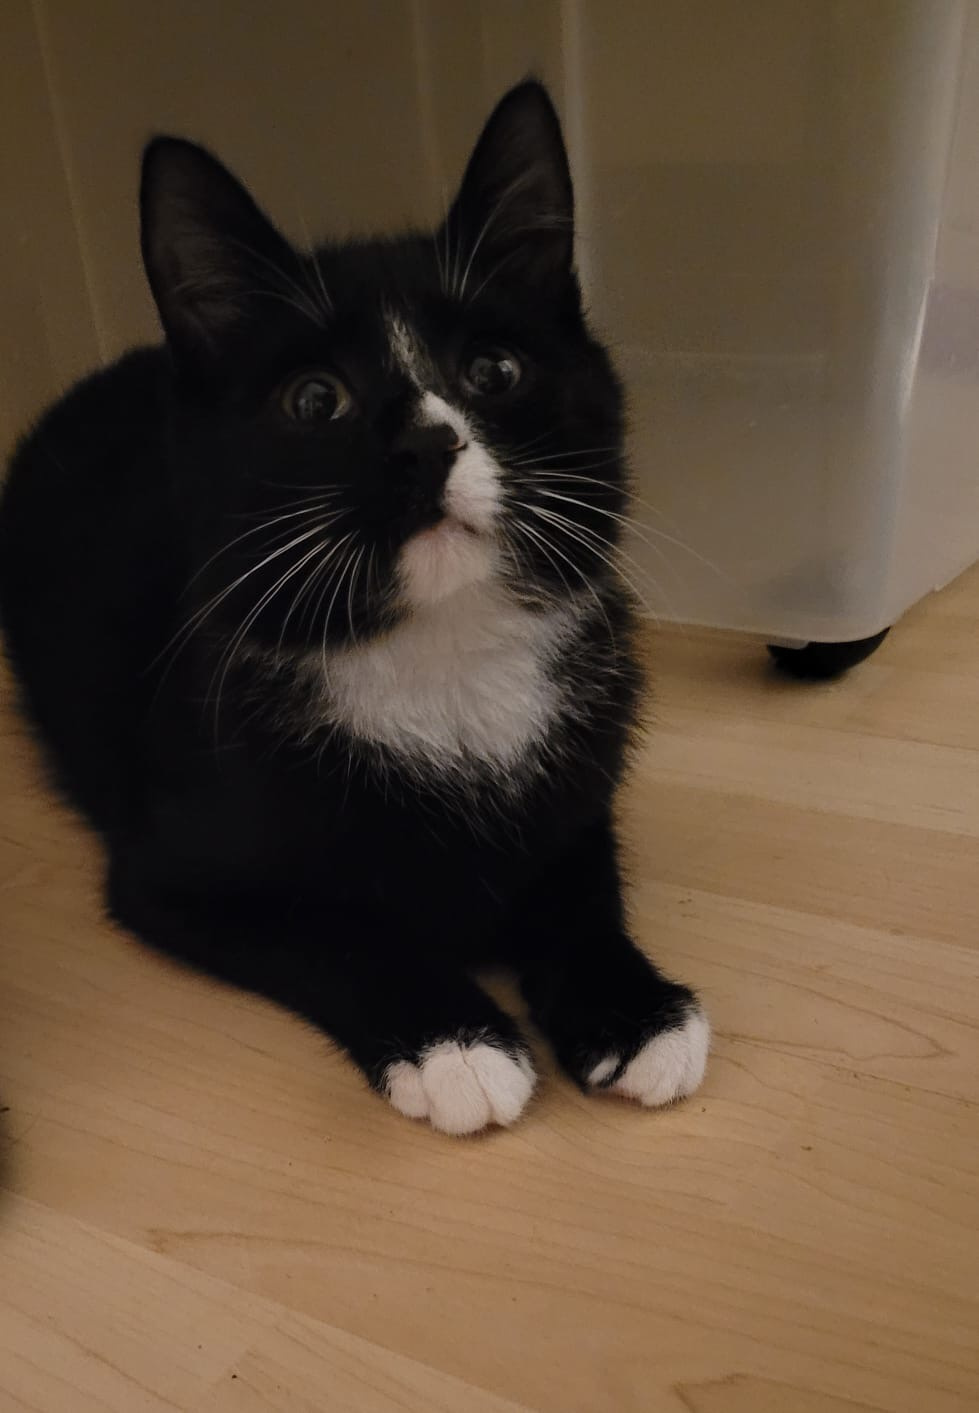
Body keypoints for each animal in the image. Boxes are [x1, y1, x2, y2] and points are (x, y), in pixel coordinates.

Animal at [0, 81, 709, 1135]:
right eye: (313, 400)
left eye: (493, 371)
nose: (424, 443)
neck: (440, 655)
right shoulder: (169, 874)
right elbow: (336, 934)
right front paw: (456, 1041)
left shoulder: (578, 784)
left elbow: (582, 881)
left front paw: (631, 1008)